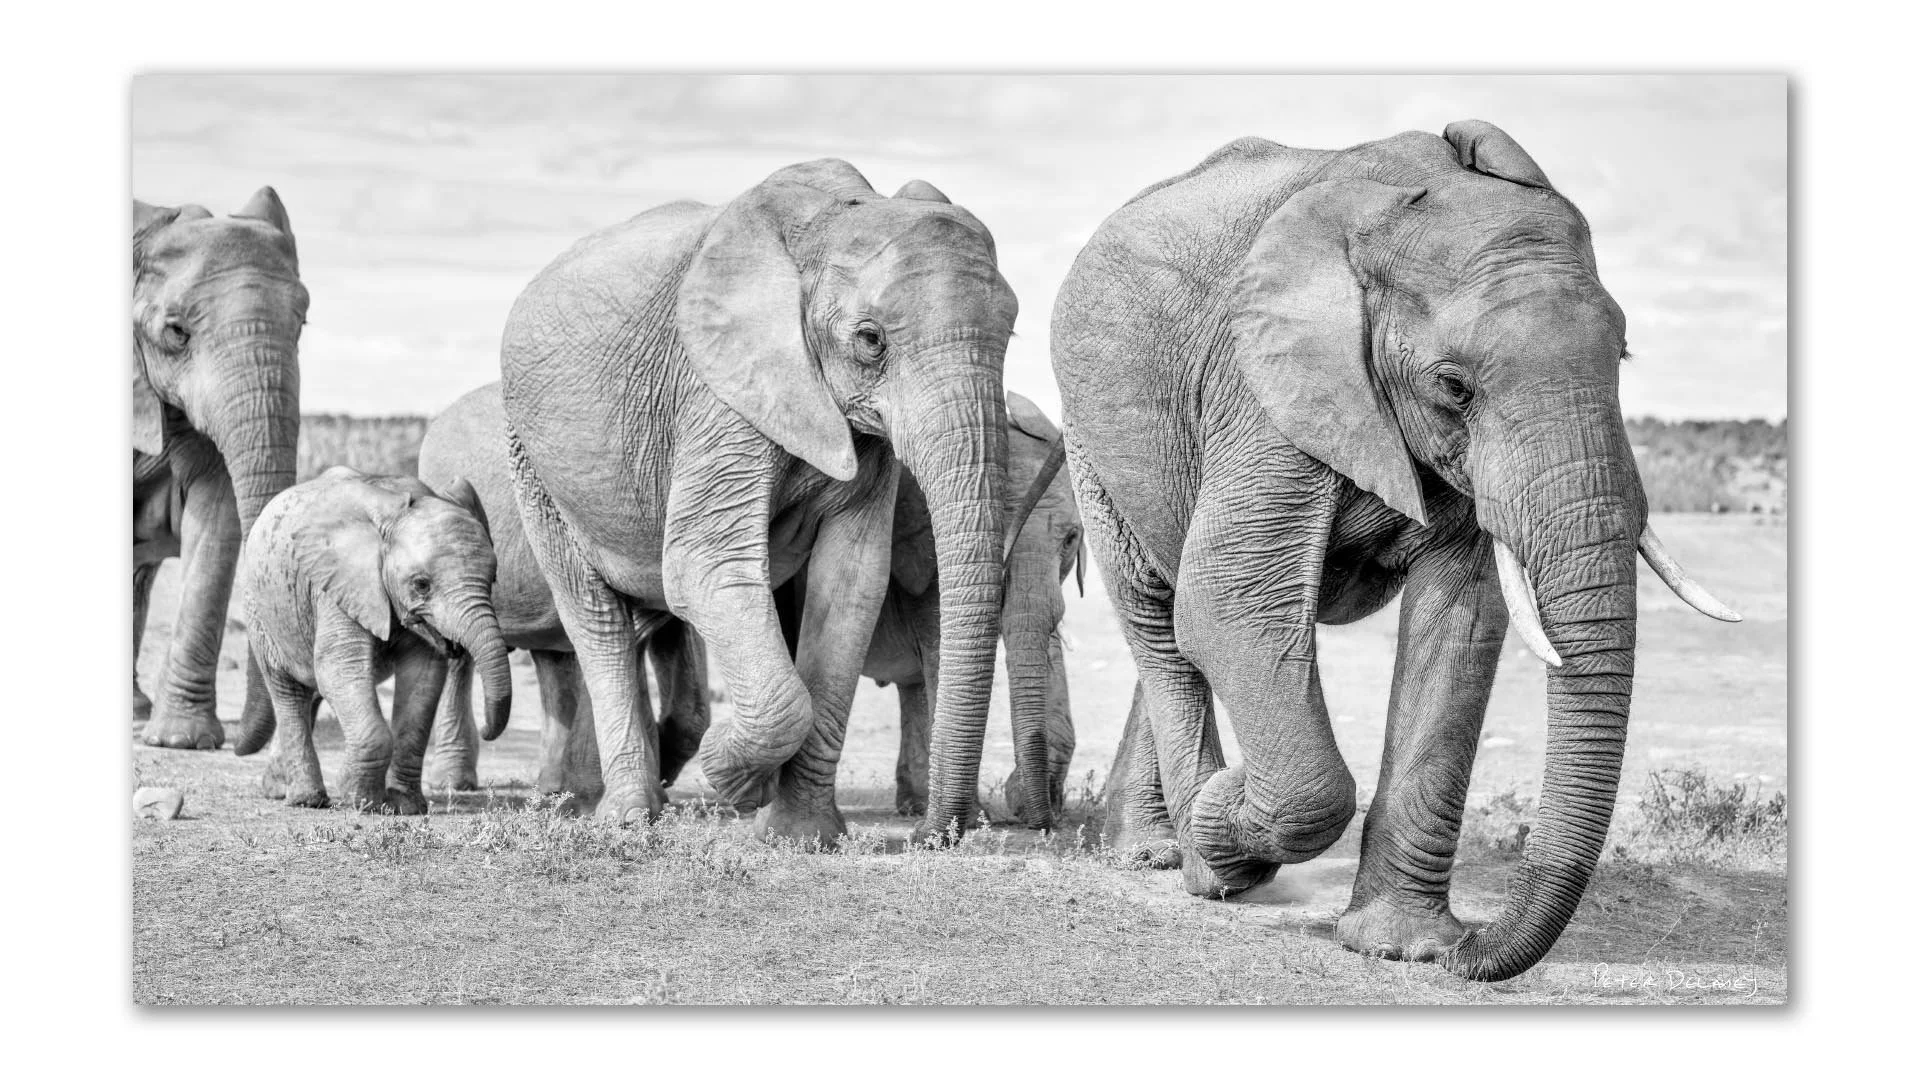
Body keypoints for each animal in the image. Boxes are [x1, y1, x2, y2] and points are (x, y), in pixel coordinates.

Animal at [233, 466, 512, 815]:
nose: (487, 731)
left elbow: (423, 679)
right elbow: (339, 669)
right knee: (288, 690)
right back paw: (306, 799)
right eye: (421, 585)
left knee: (310, 689)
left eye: (493, 579)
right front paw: (360, 801)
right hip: (259, 608)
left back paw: (279, 788)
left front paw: (406, 806)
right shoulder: (338, 586)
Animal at [501, 159, 1018, 844]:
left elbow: (851, 584)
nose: (929, 834)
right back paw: (631, 817)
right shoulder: (717, 394)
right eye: (871, 339)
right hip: (532, 464)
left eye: (1011, 331)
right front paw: (733, 783)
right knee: (596, 616)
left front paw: (802, 836)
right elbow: (704, 567)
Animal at [1050, 122, 1740, 982]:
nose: (1473, 954)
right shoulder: (1263, 386)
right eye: (1454, 386)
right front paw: (1226, 817)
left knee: (1173, 622)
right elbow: (1231, 601)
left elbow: (1462, 625)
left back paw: (1165, 846)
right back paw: (1199, 858)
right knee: (1157, 613)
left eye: (1622, 359)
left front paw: (1404, 947)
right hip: (1089, 431)